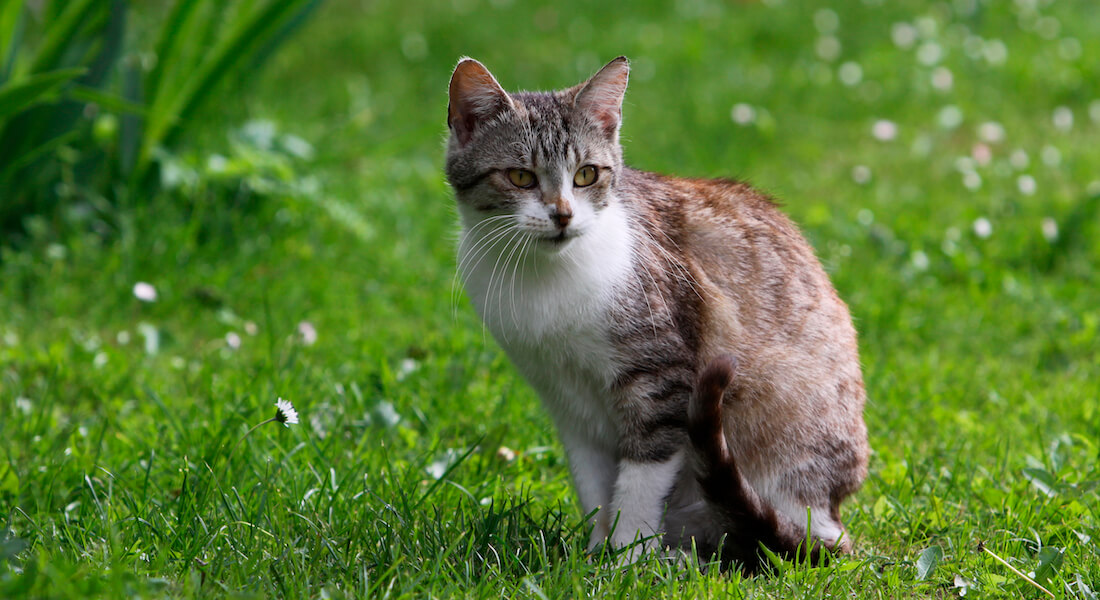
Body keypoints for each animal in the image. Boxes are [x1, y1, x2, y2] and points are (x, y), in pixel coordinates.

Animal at [444, 56, 866, 572]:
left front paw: (626, 558)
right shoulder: (565, 398)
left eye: (586, 175)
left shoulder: (663, 379)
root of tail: (833, 515)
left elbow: (640, 480)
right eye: (520, 177)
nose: (563, 214)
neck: (546, 279)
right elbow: (593, 483)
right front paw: (594, 552)